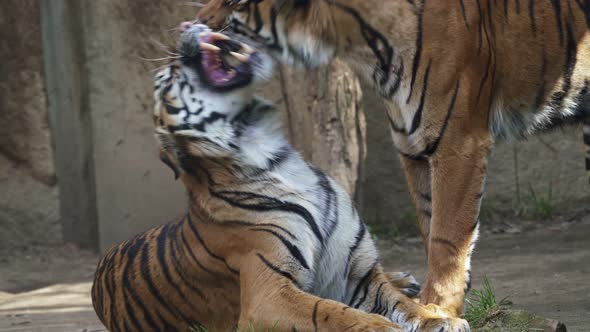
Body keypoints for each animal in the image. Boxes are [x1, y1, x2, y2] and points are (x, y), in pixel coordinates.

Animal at [92, 24, 472, 332]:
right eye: (169, 77)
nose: (186, 26)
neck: (277, 159)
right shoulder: (268, 293)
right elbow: (331, 311)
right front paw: (382, 327)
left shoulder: (355, 273)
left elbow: (401, 304)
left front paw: (439, 318)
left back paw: (404, 279)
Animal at [197, 0, 590, 316]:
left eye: (237, 2)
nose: (198, 22)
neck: (364, 47)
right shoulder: (414, 146)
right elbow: (431, 226)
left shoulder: (458, 142)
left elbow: (448, 235)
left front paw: (437, 306)